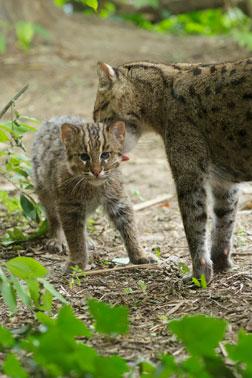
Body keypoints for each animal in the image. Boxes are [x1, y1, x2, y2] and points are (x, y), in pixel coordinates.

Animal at [32, 116, 155, 270]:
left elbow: (129, 228)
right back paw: (57, 238)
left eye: (105, 155)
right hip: (45, 191)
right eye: (84, 157)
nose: (96, 171)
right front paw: (77, 262)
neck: (93, 187)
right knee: (53, 217)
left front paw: (139, 254)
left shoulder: (118, 200)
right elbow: (74, 236)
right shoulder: (69, 206)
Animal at [92, 59, 252, 282]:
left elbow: (194, 223)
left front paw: (199, 273)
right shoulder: (223, 181)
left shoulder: (190, 175)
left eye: (97, 113)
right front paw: (220, 263)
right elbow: (224, 220)